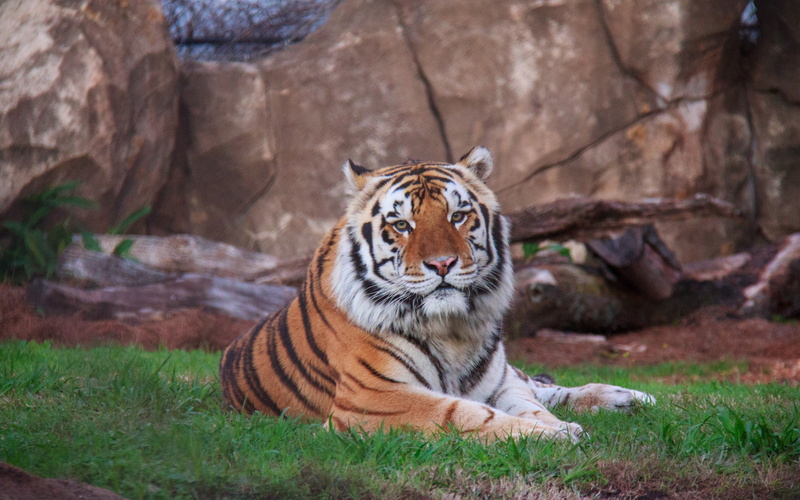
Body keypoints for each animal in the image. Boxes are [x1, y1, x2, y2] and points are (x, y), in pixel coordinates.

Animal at [220, 146, 654, 441]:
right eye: (401, 225)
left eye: (457, 216)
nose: (442, 264)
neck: (451, 330)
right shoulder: (375, 398)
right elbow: (465, 414)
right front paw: (553, 436)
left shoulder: (500, 383)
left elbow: (529, 405)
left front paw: (559, 427)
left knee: (542, 385)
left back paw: (630, 397)